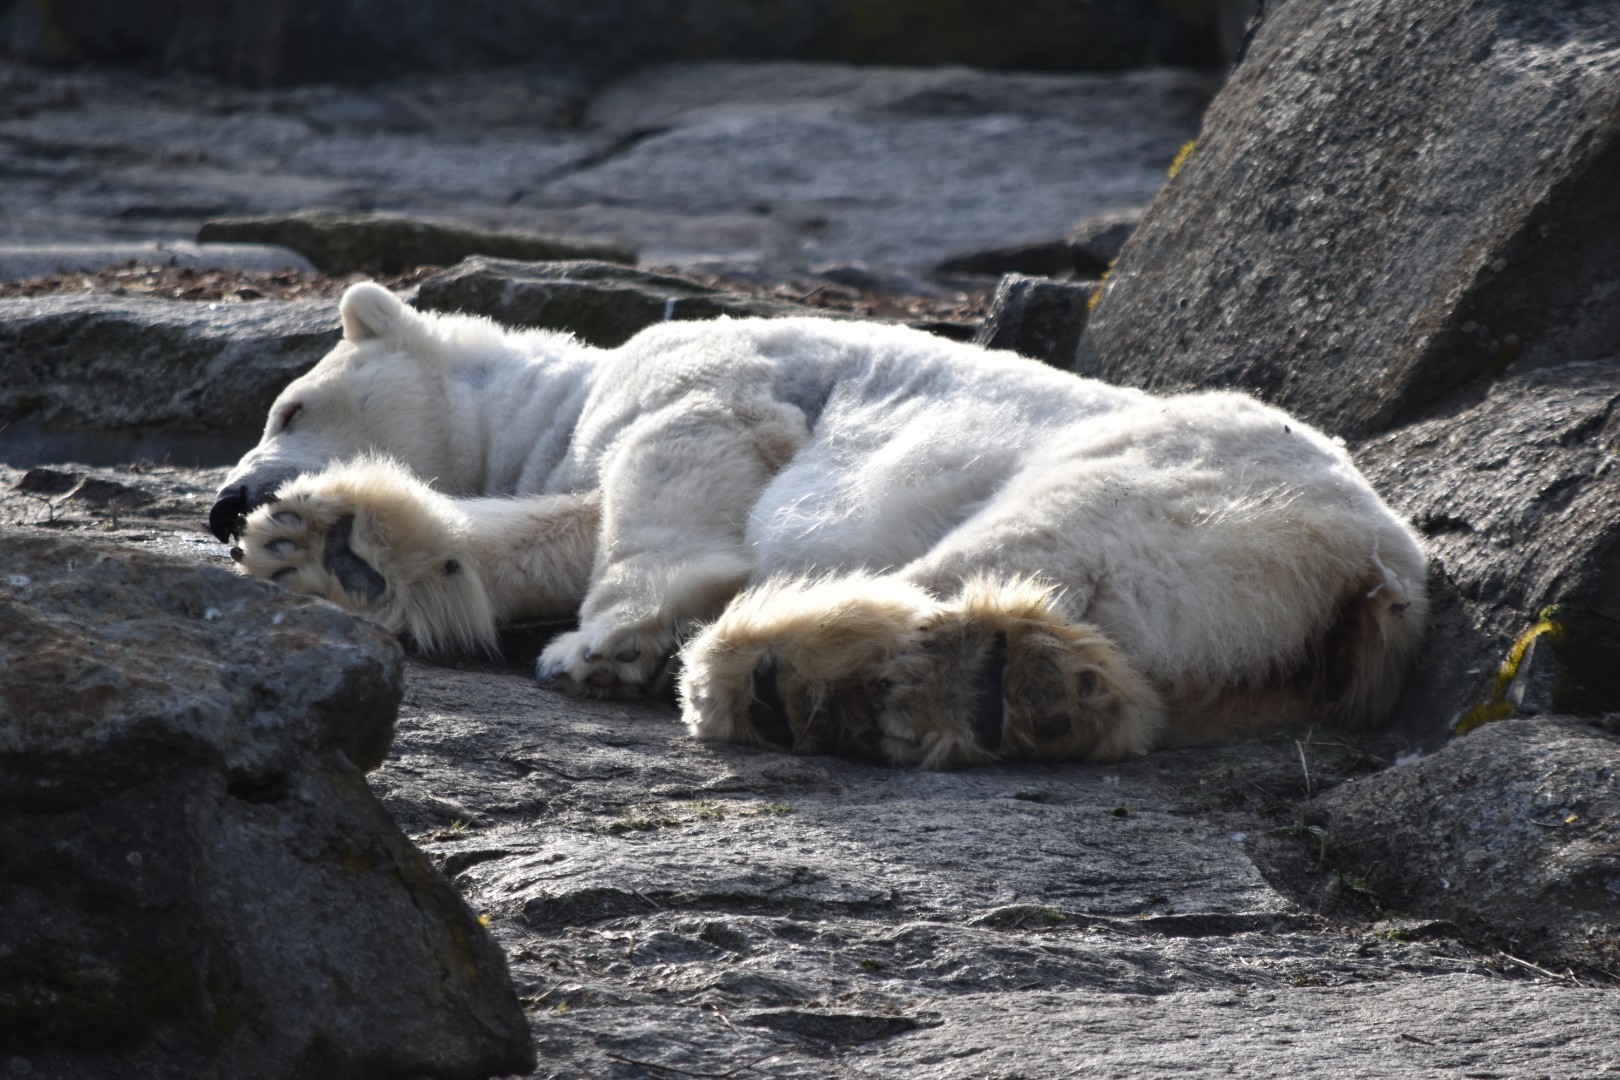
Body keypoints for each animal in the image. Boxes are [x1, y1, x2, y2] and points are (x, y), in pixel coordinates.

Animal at [210, 282, 1428, 769]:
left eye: (289, 406)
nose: (224, 503)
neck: (566, 391)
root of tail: (1377, 565)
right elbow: (546, 529)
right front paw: (325, 547)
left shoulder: (703, 372)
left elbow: (682, 467)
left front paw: (607, 643)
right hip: (1253, 646)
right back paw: (1011, 695)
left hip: (1176, 476)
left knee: (1015, 544)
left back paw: (802, 672)